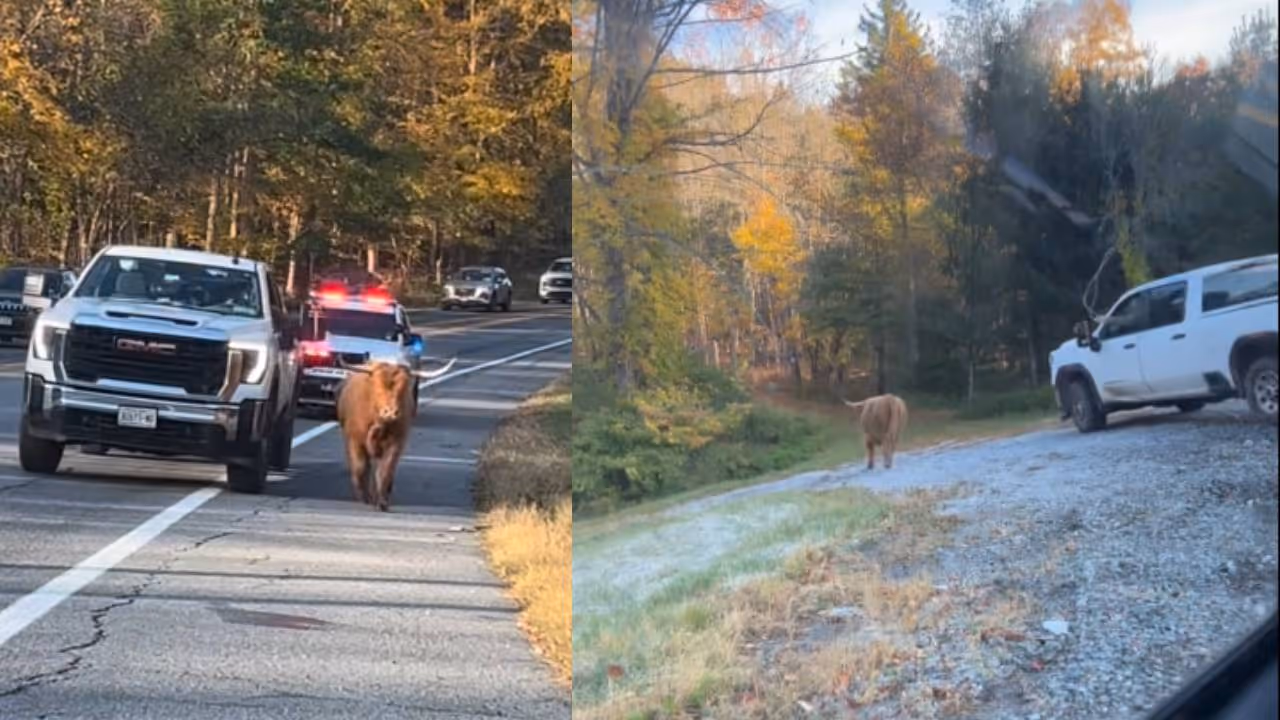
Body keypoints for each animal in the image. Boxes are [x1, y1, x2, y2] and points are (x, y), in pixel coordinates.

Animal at [335, 357, 457, 511]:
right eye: (377, 386)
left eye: (404, 388)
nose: (391, 412)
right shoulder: (354, 441)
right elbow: (360, 467)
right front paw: (365, 498)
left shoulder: (396, 443)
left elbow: (385, 470)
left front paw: (382, 502)